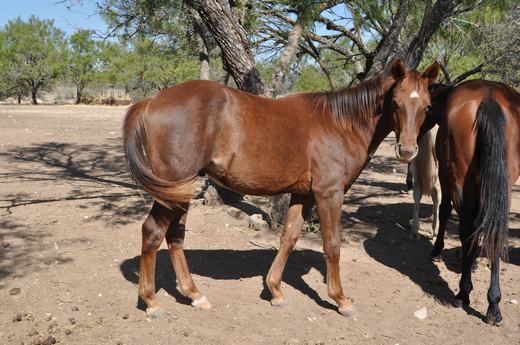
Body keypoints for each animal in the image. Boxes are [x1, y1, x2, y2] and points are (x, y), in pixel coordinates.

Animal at [124, 59, 440, 318]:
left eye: (426, 106)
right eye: (395, 102)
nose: (407, 151)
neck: (341, 123)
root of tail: (152, 101)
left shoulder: (303, 194)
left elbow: (289, 237)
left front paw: (275, 290)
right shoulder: (329, 193)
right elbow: (332, 245)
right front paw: (340, 299)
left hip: (181, 191)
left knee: (175, 236)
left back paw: (194, 295)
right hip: (173, 191)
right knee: (153, 232)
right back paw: (151, 301)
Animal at [426, 79, 520, 324]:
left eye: (428, 107)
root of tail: (489, 98)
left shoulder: (447, 179)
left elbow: (445, 211)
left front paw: (437, 250)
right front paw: (475, 260)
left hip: (461, 183)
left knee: (466, 230)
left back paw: (463, 293)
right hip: (503, 188)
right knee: (495, 233)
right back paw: (493, 305)